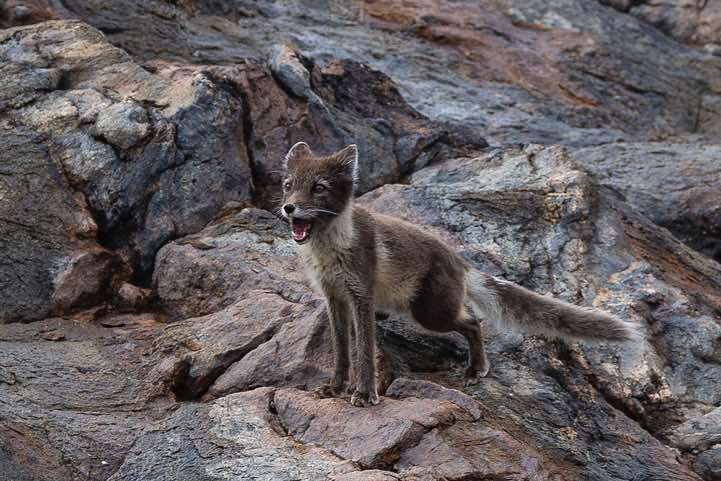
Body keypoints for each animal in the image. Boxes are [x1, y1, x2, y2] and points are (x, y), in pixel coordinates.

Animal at [279, 141, 638, 407]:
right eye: (288, 186)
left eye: (319, 187)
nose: (288, 207)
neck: (329, 251)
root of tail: (458, 259)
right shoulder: (333, 297)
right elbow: (342, 350)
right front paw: (335, 388)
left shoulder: (360, 295)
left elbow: (363, 351)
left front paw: (365, 394)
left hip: (429, 312)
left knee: (472, 321)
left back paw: (477, 369)